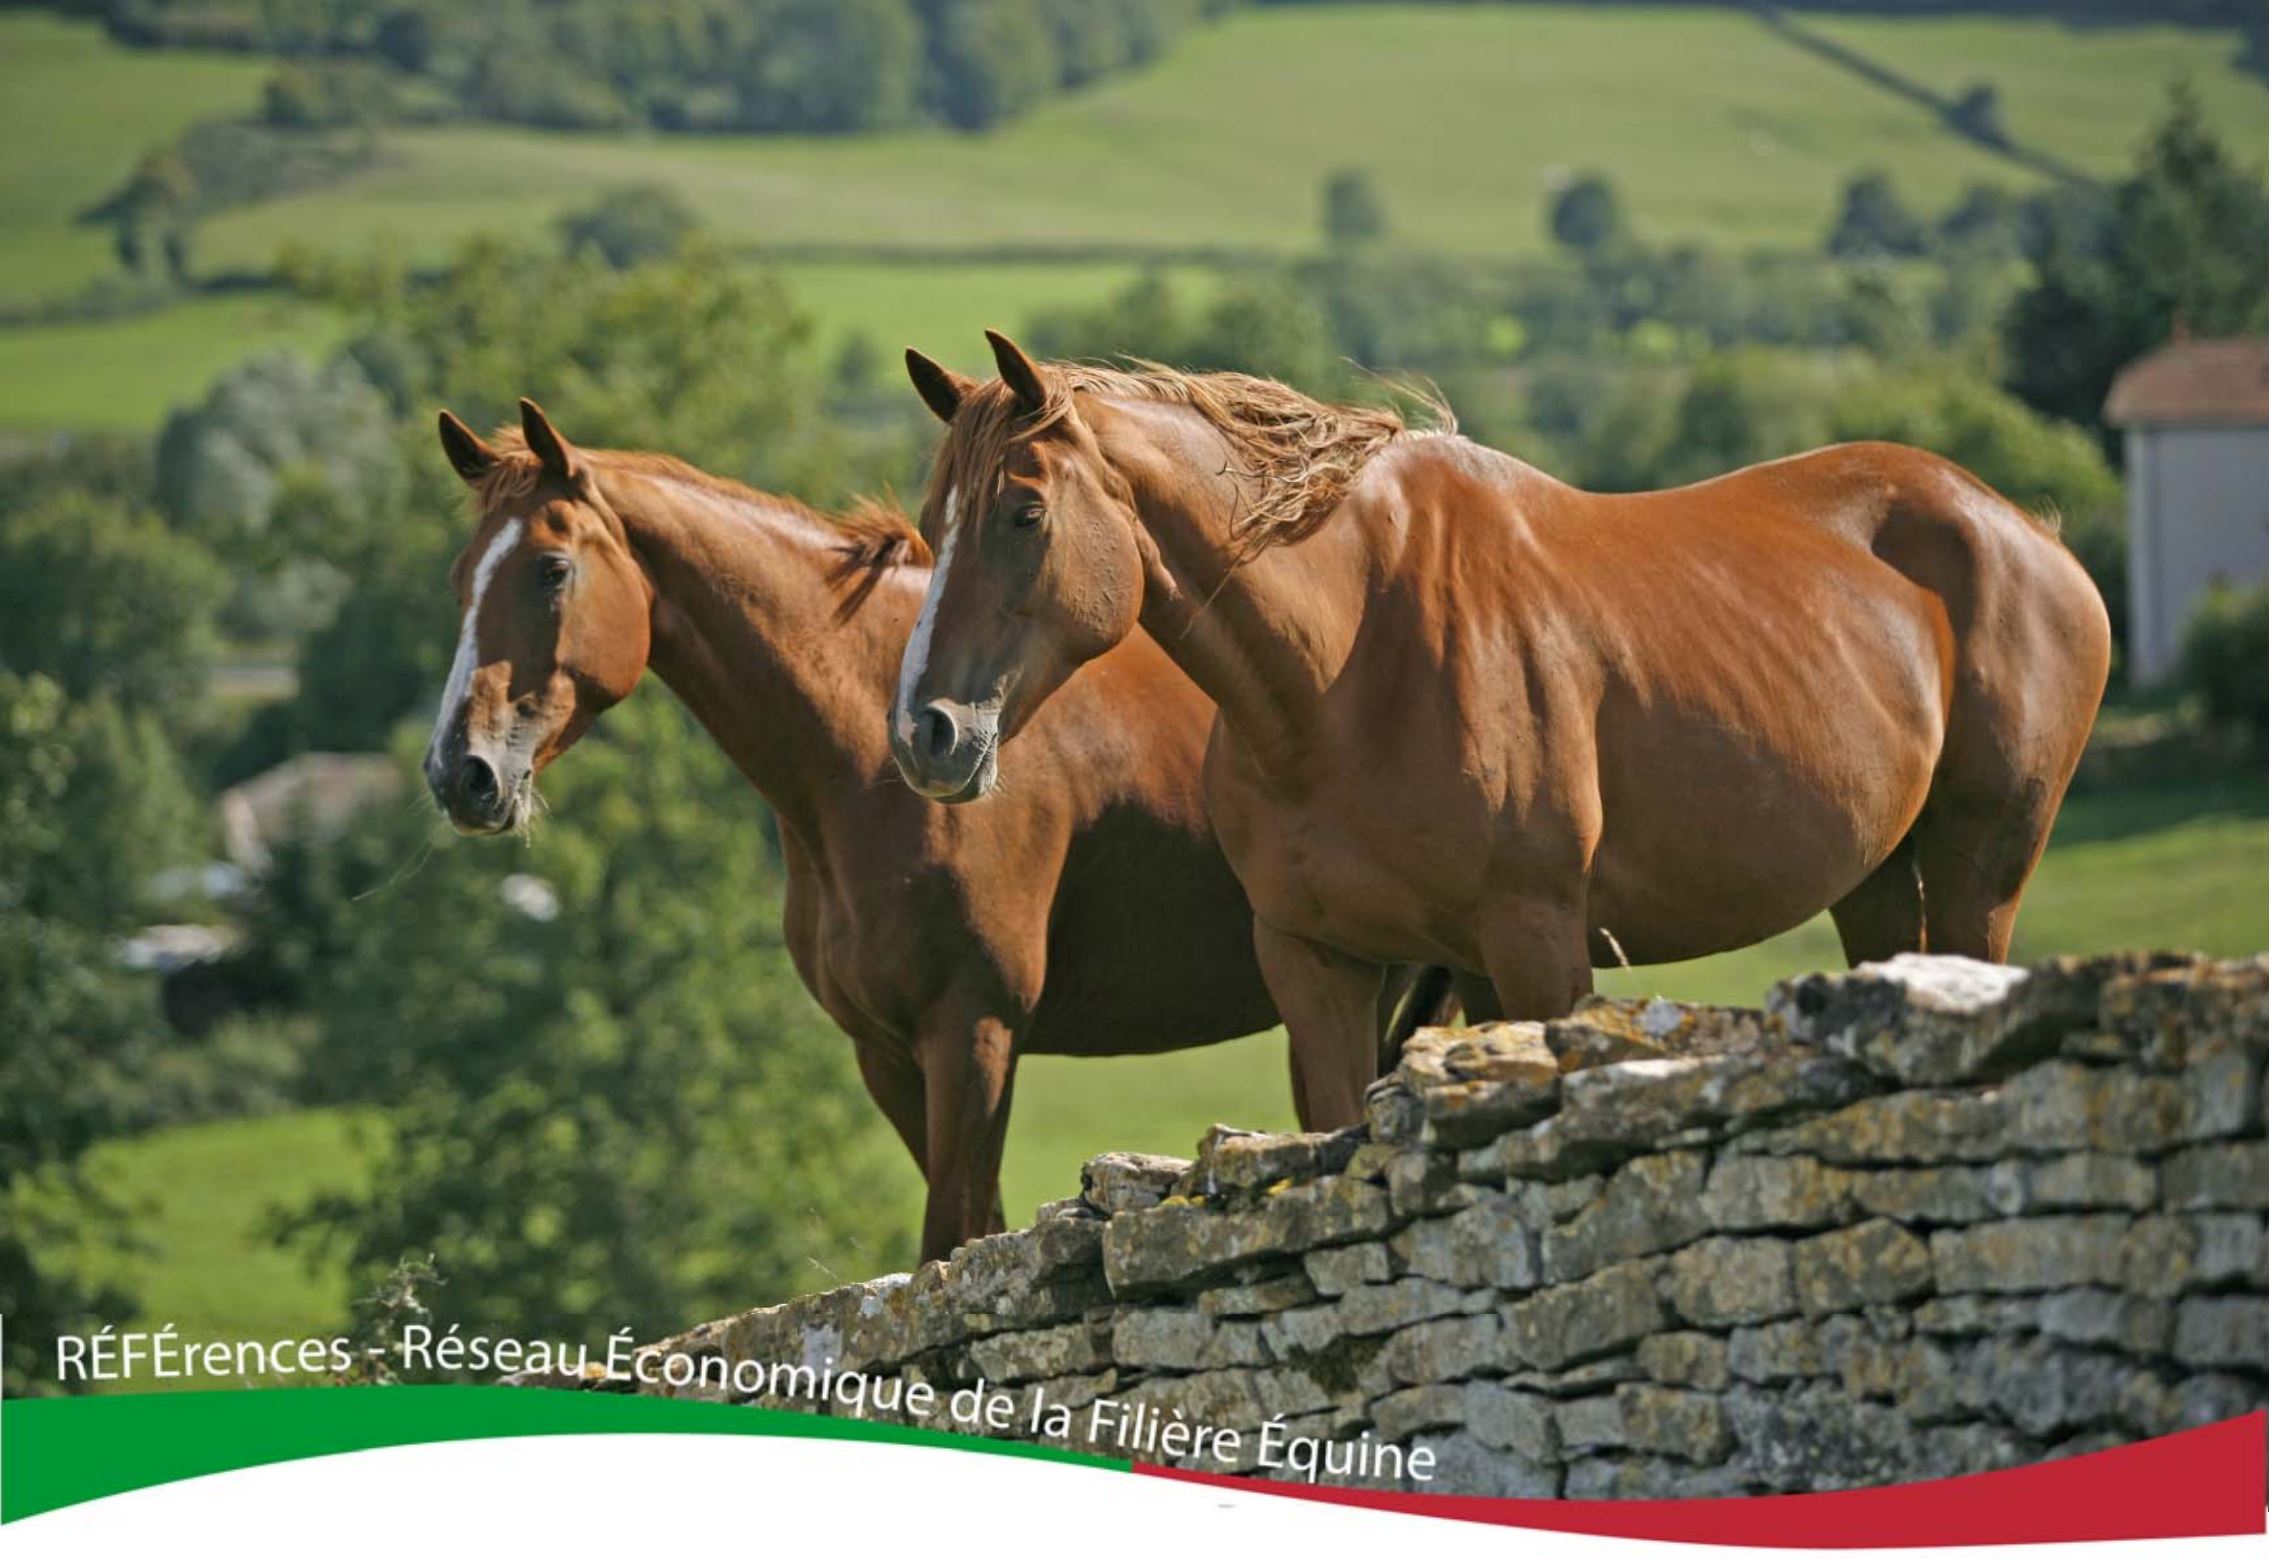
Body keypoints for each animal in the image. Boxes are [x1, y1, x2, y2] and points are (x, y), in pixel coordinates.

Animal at [424, 399, 1323, 1259]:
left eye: (551, 569)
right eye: (463, 579)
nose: (458, 771)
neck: (866, 769)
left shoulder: (973, 1032)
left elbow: (951, 1238)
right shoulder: (887, 1054)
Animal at [885, 335, 2099, 1127]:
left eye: (1025, 512)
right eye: (934, 520)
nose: (925, 733)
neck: (1341, 672)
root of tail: (2024, 529)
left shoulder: (1539, 943)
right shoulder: (1320, 964)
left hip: (1982, 867)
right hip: (1877, 876)